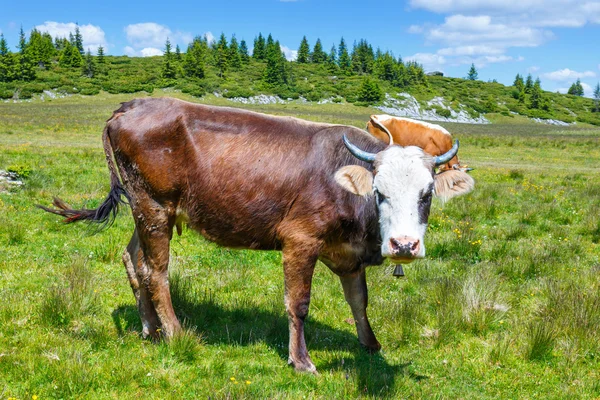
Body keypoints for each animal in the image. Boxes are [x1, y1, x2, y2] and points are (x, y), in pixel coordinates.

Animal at [41, 98, 474, 374]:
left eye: (427, 193)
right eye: (379, 192)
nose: (404, 245)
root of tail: (130, 105)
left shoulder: (348, 253)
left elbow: (359, 301)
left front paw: (370, 344)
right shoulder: (300, 241)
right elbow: (298, 304)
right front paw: (301, 360)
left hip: (145, 210)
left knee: (133, 260)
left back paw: (150, 328)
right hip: (154, 207)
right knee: (156, 272)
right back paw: (176, 333)